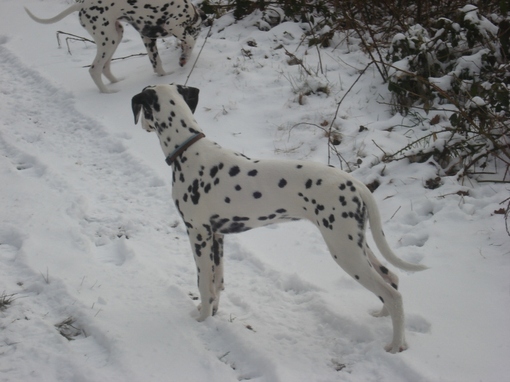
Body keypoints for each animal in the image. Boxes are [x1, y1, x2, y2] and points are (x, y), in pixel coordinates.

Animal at [23, 0, 203, 92]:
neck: (191, 12)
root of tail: (81, 5)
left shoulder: (147, 38)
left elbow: (157, 63)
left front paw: (165, 75)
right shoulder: (173, 25)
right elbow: (190, 41)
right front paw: (184, 58)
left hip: (115, 36)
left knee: (105, 67)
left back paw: (117, 82)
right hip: (108, 40)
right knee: (95, 69)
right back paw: (108, 92)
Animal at [130, 83, 426, 352]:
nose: (141, 124)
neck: (189, 151)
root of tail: (356, 184)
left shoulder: (198, 234)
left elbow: (203, 283)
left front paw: (201, 320)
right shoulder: (218, 236)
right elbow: (217, 284)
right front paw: (212, 313)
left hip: (345, 251)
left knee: (393, 294)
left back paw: (396, 346)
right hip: (356, 243)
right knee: (391, 277)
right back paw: (382, 316)